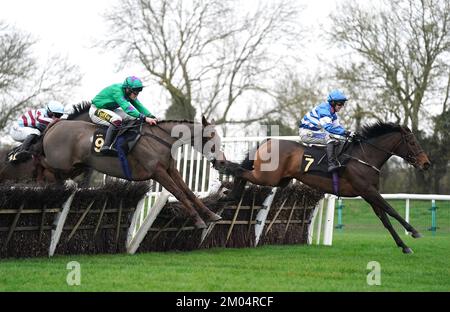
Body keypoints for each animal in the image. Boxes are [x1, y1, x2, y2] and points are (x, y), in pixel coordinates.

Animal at [218, 122, 432, 254]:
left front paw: (404, 246)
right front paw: (414, 231)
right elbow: (391, 209)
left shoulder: (368, 194)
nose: (426, 164)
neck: (364, 158)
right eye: (412, 142)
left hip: (279, 180)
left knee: (242, 172)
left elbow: (385, 219)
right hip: (267, 177)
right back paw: (227, 189)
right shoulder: (367, 190)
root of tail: (268, 141)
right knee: (239, 171)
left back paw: (229, 194)